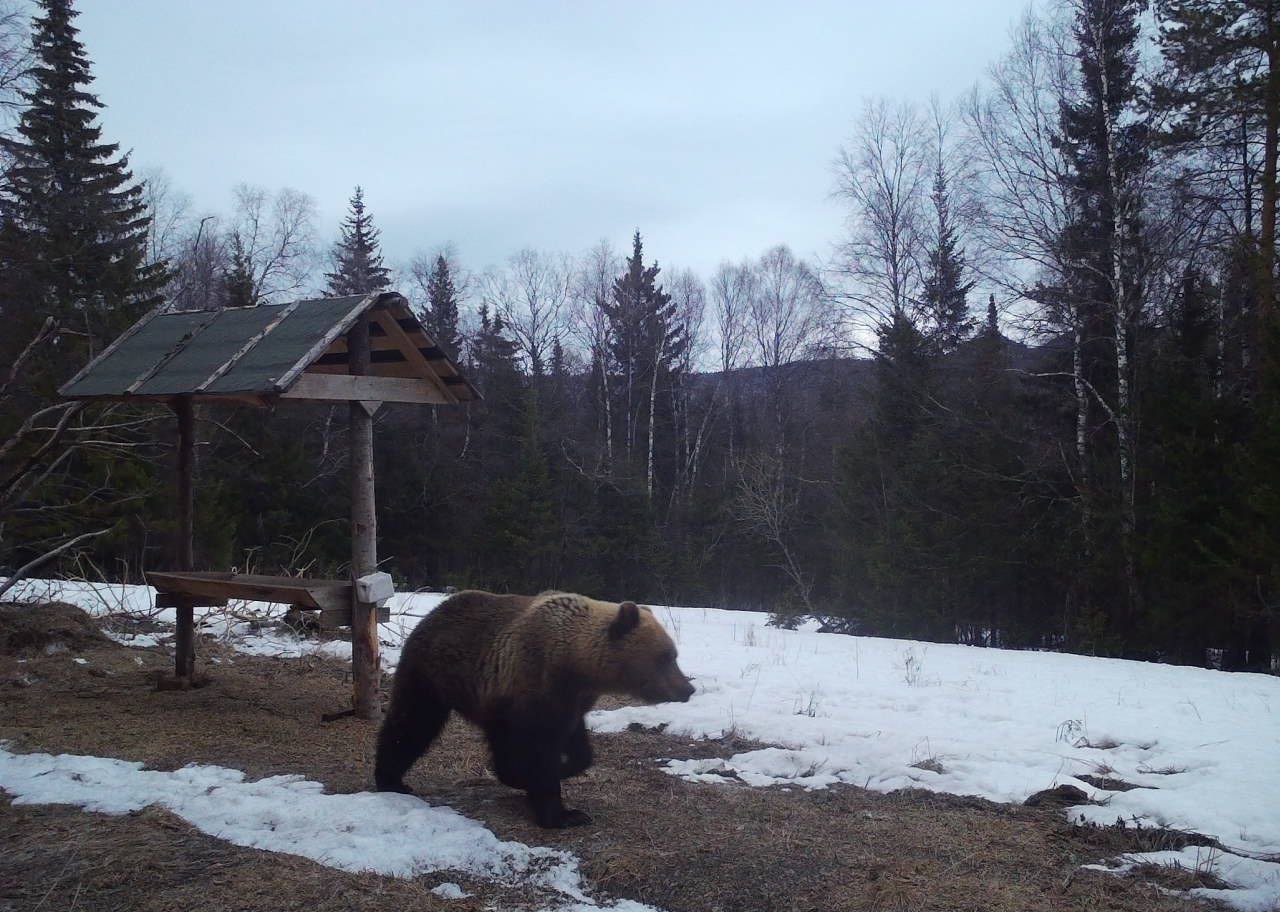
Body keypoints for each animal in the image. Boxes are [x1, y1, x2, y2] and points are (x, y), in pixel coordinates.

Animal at [373, 591, 691, 824]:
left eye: (673, 655)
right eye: (665, 656)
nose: (687, 689)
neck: (577, 663)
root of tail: (433, 613)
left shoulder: (570, 701)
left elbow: (576, 744)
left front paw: (561, 770)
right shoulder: (537, 687)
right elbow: (540, 752)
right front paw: (563, 814)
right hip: (433, 675)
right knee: (413, 723)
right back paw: (391, 779)